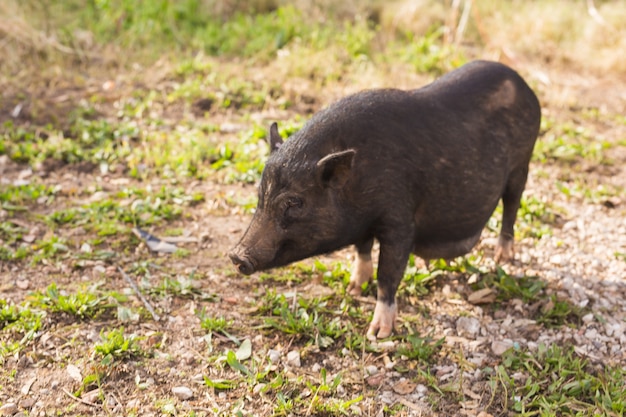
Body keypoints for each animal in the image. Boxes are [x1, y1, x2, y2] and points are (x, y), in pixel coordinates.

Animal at [227, 61, 540, 338]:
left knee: (512, 206)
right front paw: (353, 289)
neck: (358, 182)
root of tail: (524, 84)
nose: (236, 255)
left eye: (294, 203)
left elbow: (388, 273)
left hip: (522, 164)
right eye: (261, 194)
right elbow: (362, 249)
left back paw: (502, 258)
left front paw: (378, 333)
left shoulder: (399, 218)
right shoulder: (363, 222)